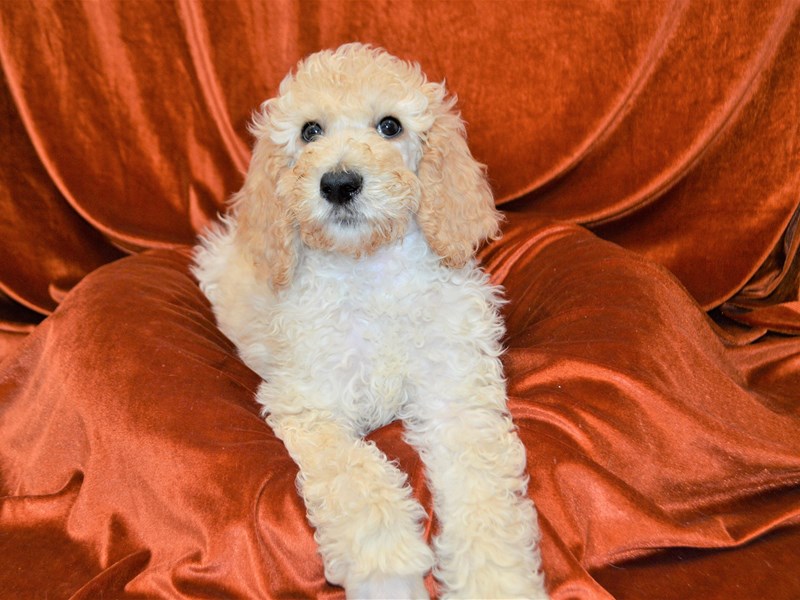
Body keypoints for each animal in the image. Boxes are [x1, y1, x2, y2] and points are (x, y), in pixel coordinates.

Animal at [192, 43, 552, 600]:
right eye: (310, 131)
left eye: (390, 126)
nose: (339, 183)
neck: (370, 270)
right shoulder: (312, 408)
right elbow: (355, 474)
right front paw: (388, 569)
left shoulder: (456, 398)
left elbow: (483, 487)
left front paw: (497, 579)